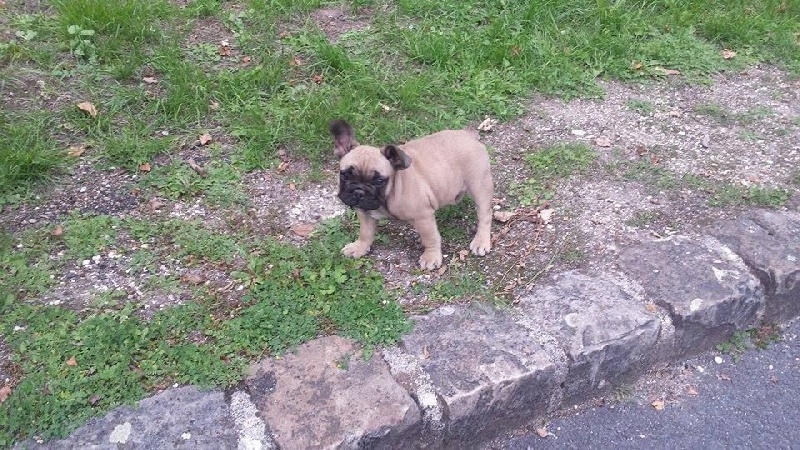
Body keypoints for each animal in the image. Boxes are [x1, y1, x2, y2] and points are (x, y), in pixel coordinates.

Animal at [326, 118, 490, 268]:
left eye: (379, 181)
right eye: (345, 175)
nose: (359, 191)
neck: (388, 195)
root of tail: (468, 135)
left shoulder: (423, 217)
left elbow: (430, 238)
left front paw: (431, 257)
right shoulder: (365, 213)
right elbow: (365, 233)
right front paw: (359, 247)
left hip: (479, 185)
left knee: (484, 215)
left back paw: (481, 241)